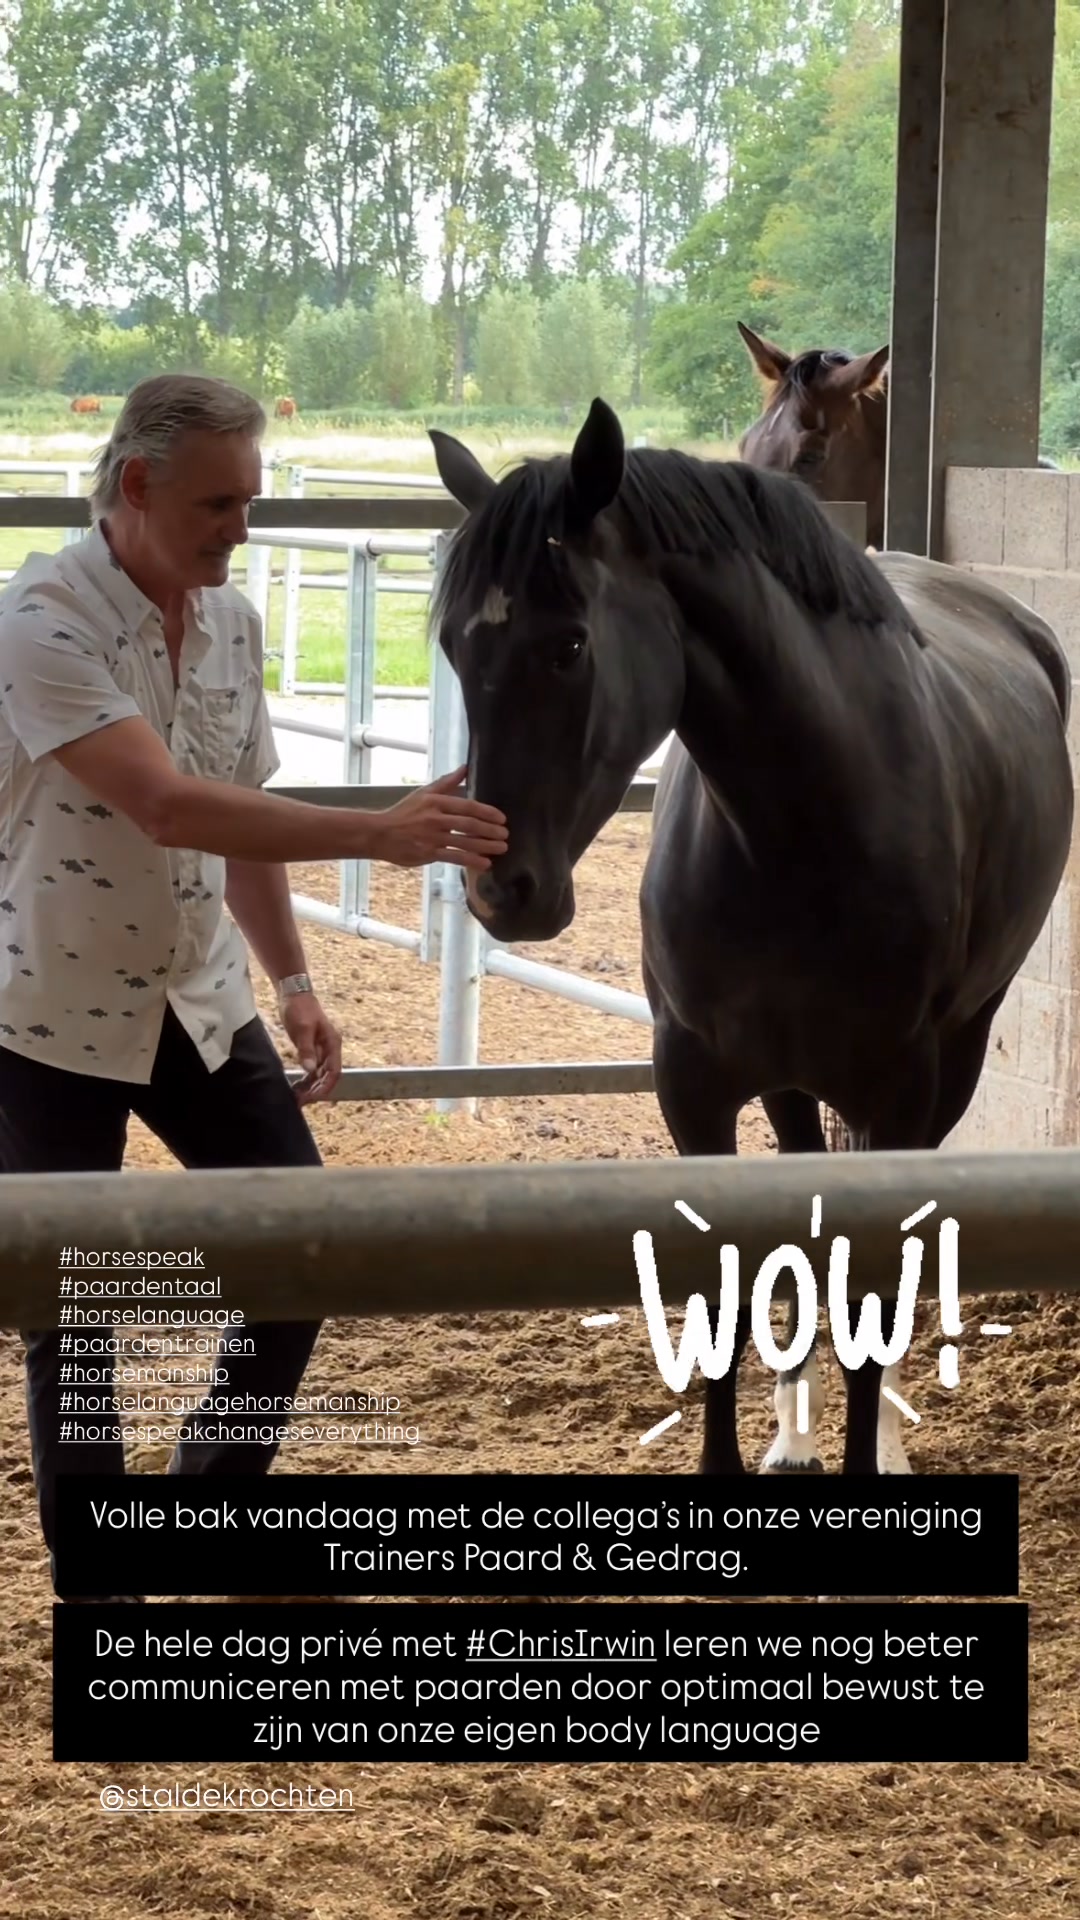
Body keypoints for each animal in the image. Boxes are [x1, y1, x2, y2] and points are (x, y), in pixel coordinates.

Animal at [427, 397, 1074, 1482]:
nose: (503, 892)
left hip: (951, 1061)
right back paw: (794, 1433)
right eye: (451, 647)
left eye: (569, 646)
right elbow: (731, 1289)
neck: (801, 824)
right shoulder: (694, 1080)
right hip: (787, 1081)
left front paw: (868, 1451)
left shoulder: (898, 1091)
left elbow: (870, 1289)